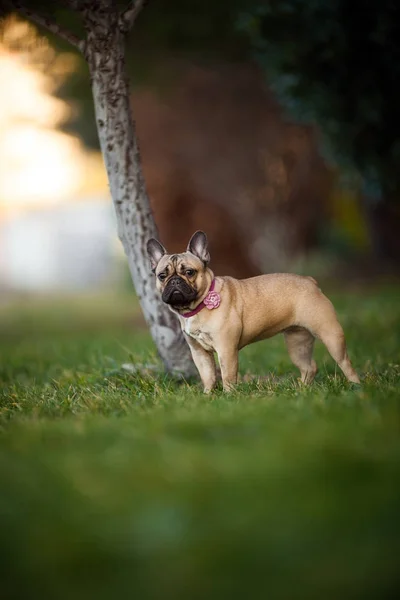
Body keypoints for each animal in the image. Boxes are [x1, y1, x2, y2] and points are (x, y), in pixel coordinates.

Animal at [146, 231, 360, 394]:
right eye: (162, 275)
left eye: (189, 272)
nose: (174, 281)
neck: (198, 306)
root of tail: (310, 281)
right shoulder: (199, 352)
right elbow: (207, 376)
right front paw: (207, 395)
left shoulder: (226, 349)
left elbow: (227, 375)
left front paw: (228, 396)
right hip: (297, 342)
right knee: (309, 367)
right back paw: (301, 390)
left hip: (330, 334)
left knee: (345, 362)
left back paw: (356, 387)